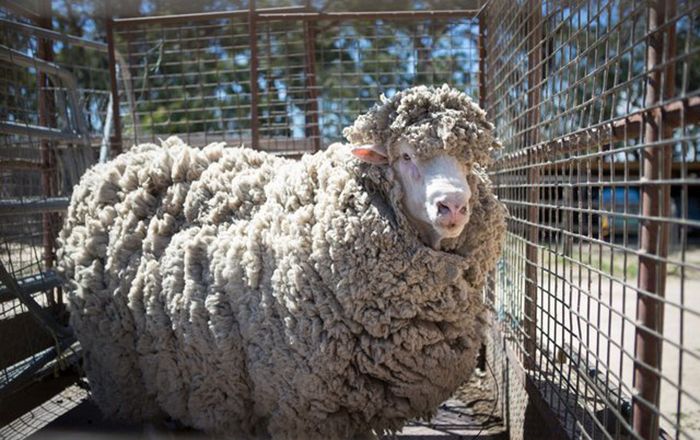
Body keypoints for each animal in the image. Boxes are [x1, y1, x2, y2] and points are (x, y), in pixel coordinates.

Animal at [57, 84, 507, 440]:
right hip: (119, 366)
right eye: (407, 156)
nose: (453, 205)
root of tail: (106, 168)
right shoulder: (303, 402)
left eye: (469, 161)